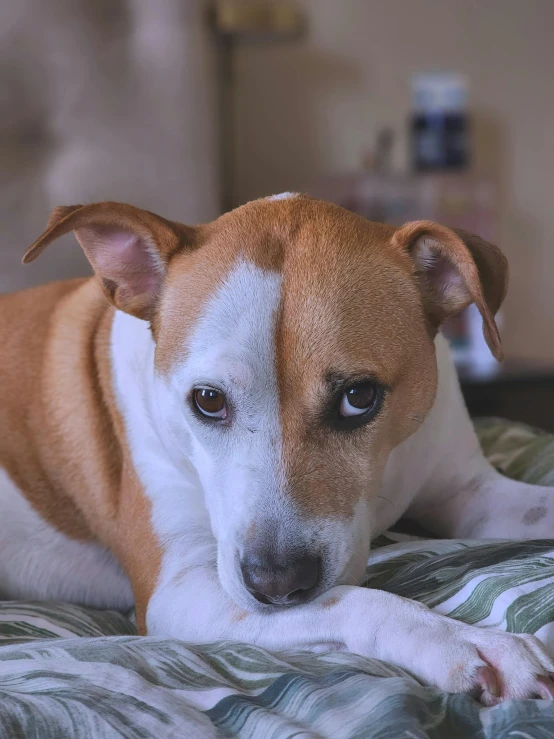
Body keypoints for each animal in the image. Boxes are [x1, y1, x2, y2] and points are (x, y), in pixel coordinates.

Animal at [1, 194, 552, 704]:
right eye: (207, 400)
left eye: (360, 397)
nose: (276, 582)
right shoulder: (181, 589)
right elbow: (350, 599)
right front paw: (463, 642)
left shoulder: (469, 490)